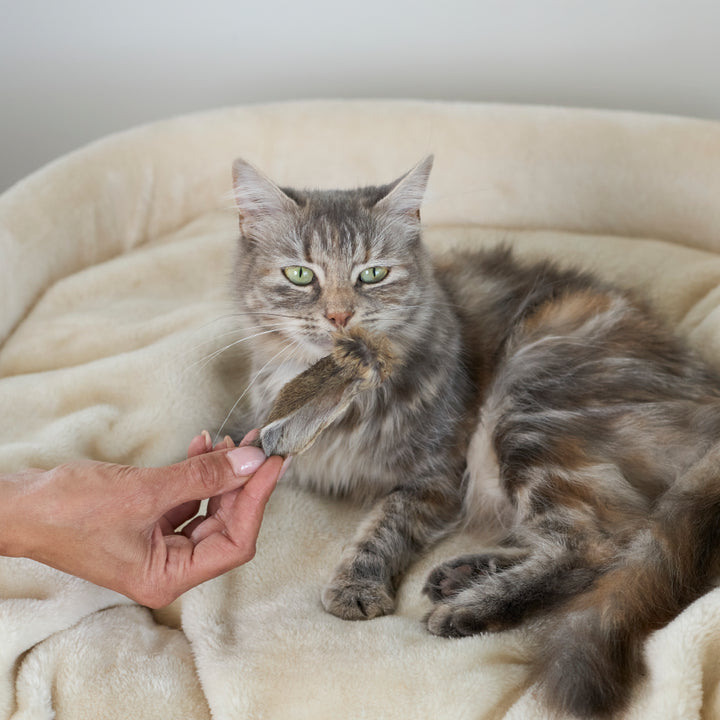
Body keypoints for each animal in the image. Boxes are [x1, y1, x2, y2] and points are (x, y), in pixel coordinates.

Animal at [228, 155, 720, 716]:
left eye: (372, 274)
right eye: (300, 275)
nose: (339, 315)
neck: (343, 399)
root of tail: (706, 393)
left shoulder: (436, 479)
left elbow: (383, 527)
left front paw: (357, 585)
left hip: (529, 403)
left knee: (594, 545)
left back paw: (470, 607)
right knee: (598, 532)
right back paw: (462, 575)